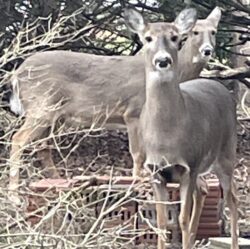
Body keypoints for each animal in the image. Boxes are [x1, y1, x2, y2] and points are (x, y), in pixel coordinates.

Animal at [8, 7, 222, 204]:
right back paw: (15, 196)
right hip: (41, 107)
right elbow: (138, 153)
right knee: (18, 139)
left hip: (55, 115)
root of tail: (16, 74)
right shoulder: (133, 112)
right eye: (195, 32)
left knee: (42, 146)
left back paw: (60, 183)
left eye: (213, 31)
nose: (207, 50)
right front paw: (137, 183)